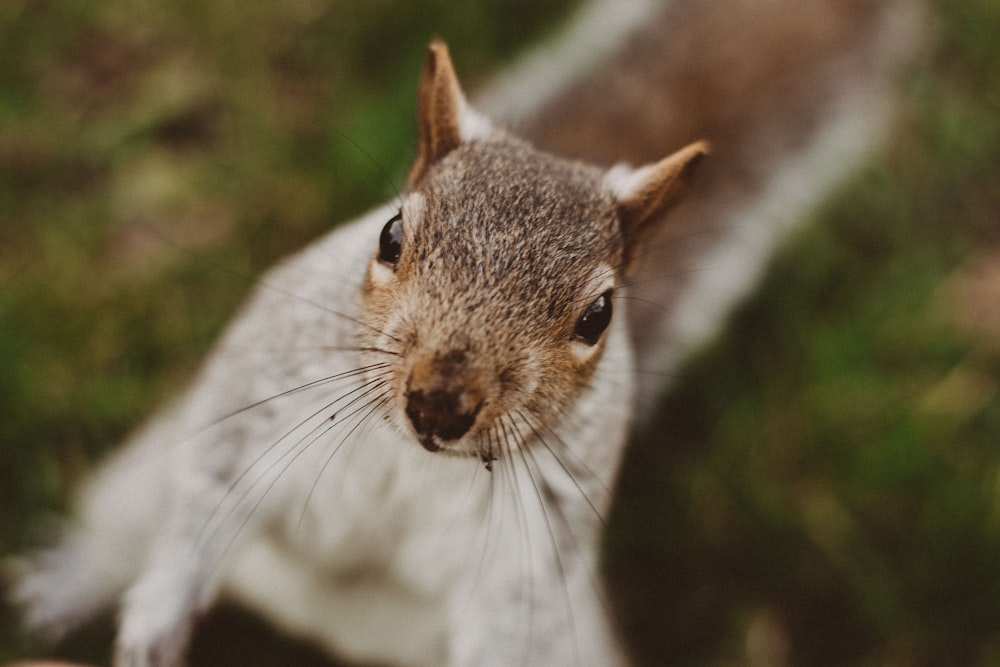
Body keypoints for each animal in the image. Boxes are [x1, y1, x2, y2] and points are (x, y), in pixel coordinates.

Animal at [7, 1, 916, 667]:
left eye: (600, 315)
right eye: (389, 235)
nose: (441, 402)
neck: (412, 459)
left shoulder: (528, 559)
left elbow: (504, 616)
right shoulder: (252, 405)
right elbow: (203, 499)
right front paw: (155, 619)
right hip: (139, 476)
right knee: (130, 522)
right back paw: (67, 579)